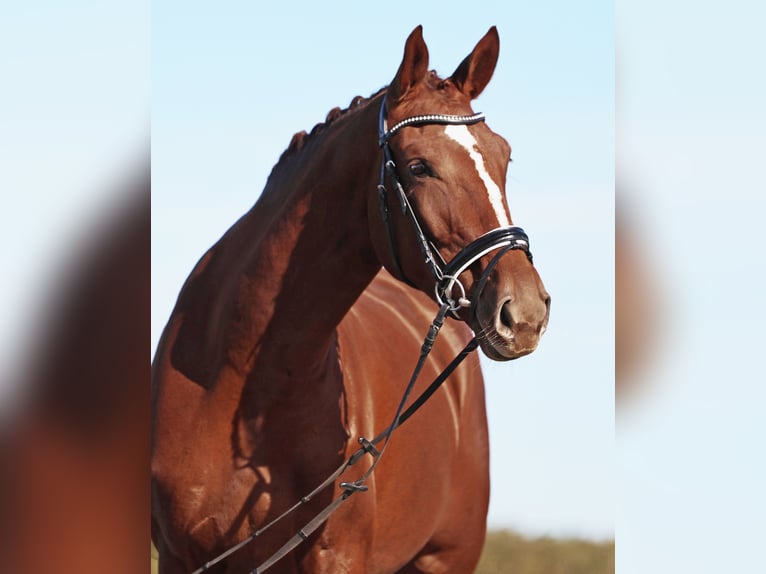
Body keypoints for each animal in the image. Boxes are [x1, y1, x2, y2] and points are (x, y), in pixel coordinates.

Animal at [151, 26, 550, 574]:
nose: (525, 313)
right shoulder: (178, 556)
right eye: (418, 166)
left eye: (503, 158)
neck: (234, 386)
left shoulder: (337, 556)